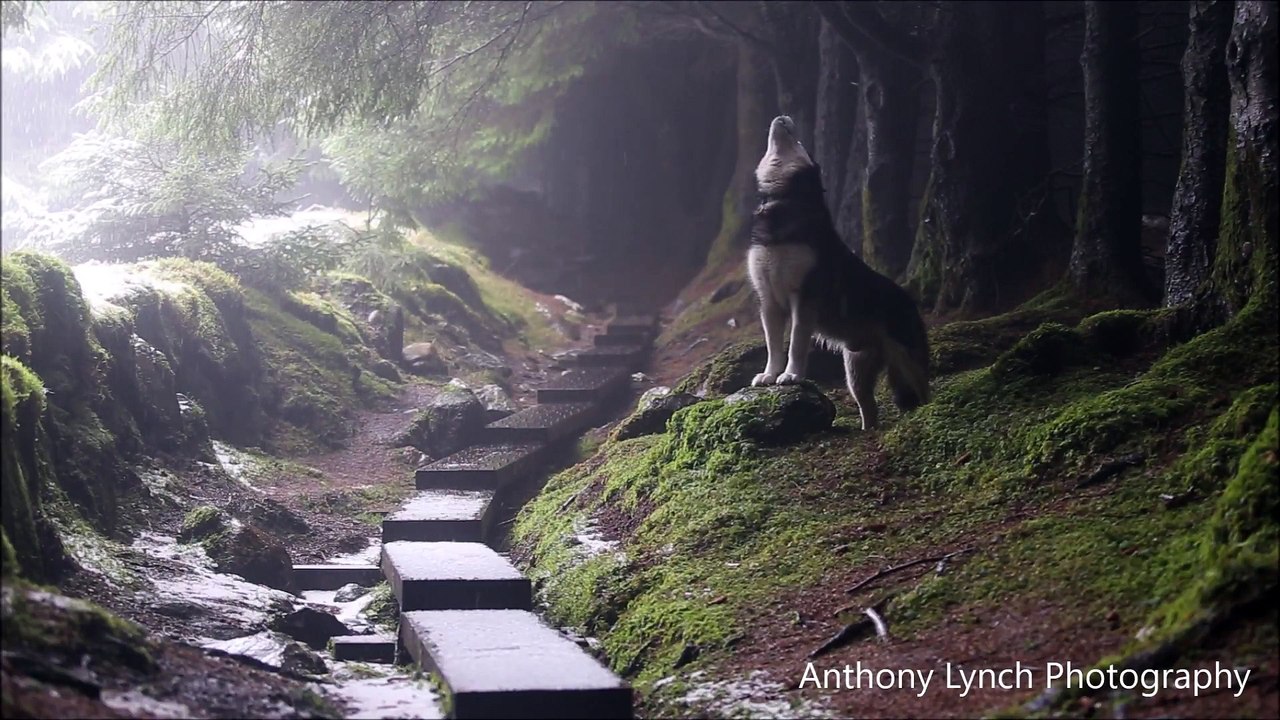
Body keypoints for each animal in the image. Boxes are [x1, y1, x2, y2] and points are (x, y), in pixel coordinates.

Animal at [747, 115, 930, 430]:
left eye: (800, 142)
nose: (783, 117)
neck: (783, 202)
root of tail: (909, 300)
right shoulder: (768, 301)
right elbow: (773, 346)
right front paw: (769, 375)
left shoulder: (803, 299)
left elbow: (796, 344)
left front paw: (791, 375)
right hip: (855, 371)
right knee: (869, 407)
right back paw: (868, 429)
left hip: (907, 359)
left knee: (923, 389)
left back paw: (930, 411)